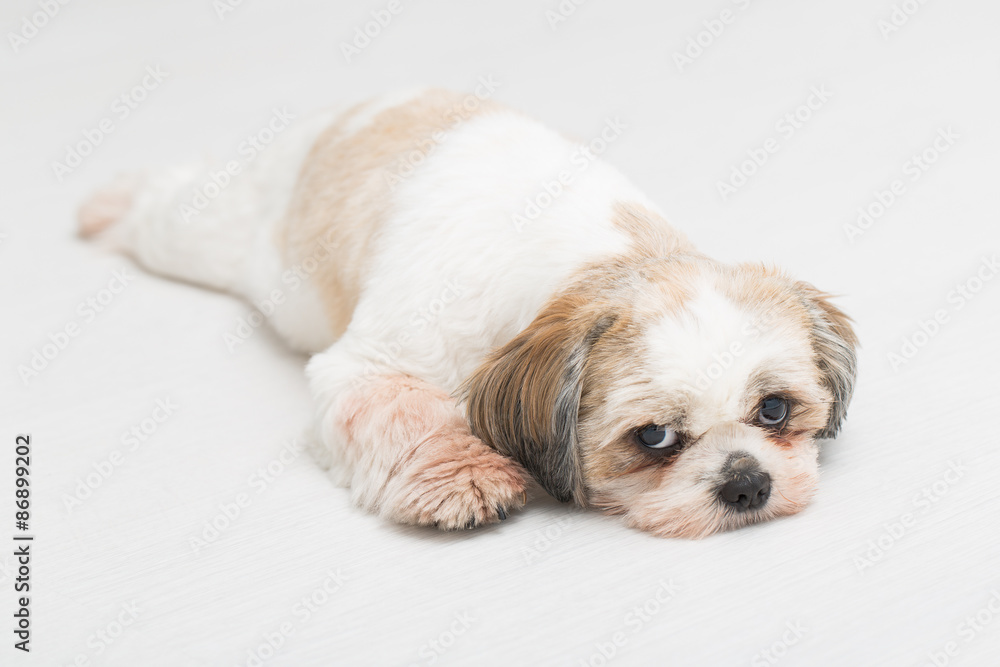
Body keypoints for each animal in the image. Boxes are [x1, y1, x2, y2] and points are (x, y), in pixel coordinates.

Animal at [79, 88, 858, 538]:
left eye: (775, 411)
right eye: (656, 437)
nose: (747, 481)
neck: (586, 258)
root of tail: (352, 110)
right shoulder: (373, 362)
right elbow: (397, 408)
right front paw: (462, 476)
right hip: (227, 239)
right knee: (171, 216)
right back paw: (115, 207)